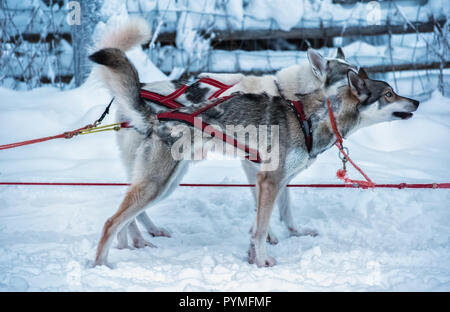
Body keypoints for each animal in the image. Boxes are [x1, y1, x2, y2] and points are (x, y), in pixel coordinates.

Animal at [90, 47, 418, 268]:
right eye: (389, 94)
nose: (415, 101)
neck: (309, 113)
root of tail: (153, 113)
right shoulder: (265, 176)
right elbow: (262, 225)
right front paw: (262, 259)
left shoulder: (274, 178)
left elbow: (279, 212)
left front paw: (288, 235)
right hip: (160, 181)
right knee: (111, 220)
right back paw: (103, 263)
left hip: (167, 180)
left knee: (125, 214)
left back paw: (134, 241)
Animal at [94, 17, 356, 247]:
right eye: (349, 75)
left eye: (358, 70)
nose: (363, 81)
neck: (288, 94)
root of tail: (139, 92)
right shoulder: (253, 165)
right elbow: (263, 203)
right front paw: (268, 236)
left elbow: (285, 206)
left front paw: (295, 232)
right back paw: (139, 238)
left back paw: (143, 235)